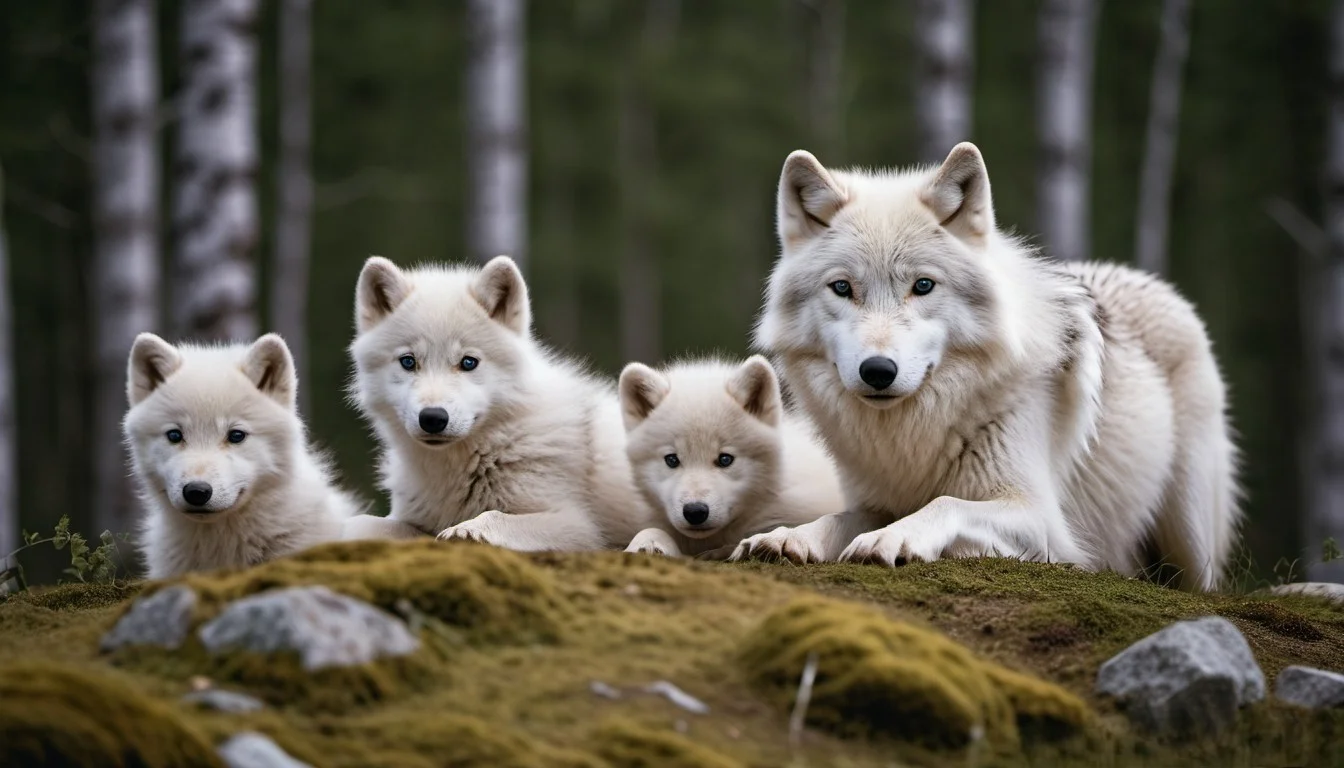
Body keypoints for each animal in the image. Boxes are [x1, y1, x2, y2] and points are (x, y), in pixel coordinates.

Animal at [342, 255, 650, 551]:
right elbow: (367, 522)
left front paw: (466, 531)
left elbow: (494, 515)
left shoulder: (576, 525)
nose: (432, 418)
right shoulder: (410, 519)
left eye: (468, 362)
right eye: (408, 362)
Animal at [731, 142, 1239, 591]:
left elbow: (945, 504)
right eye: (842, 288)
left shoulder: (1042, 520)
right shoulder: (875, 500)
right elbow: (835, 517)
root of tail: (1147, 279)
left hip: (1190, 531)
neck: (915, 433)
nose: (878, 371)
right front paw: (785, 538)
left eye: (923, 285)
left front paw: (890, 539)